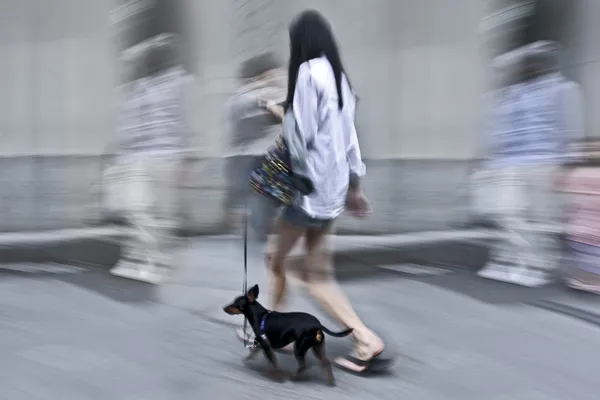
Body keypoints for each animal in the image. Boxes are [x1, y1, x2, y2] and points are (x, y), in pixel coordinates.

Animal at [224, 282, 352, 386]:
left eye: (236, 304)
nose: (224, 308)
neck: (260, 316)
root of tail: (318, 325)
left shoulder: (266, 346)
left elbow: (274, 363)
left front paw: (276, 377)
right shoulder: (263, 345)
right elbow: (259, 356)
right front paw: (250, 361)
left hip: (299, 347)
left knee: (303, 366)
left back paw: (294, 377)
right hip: (317, 347)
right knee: (326, 363)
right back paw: (330, 382)